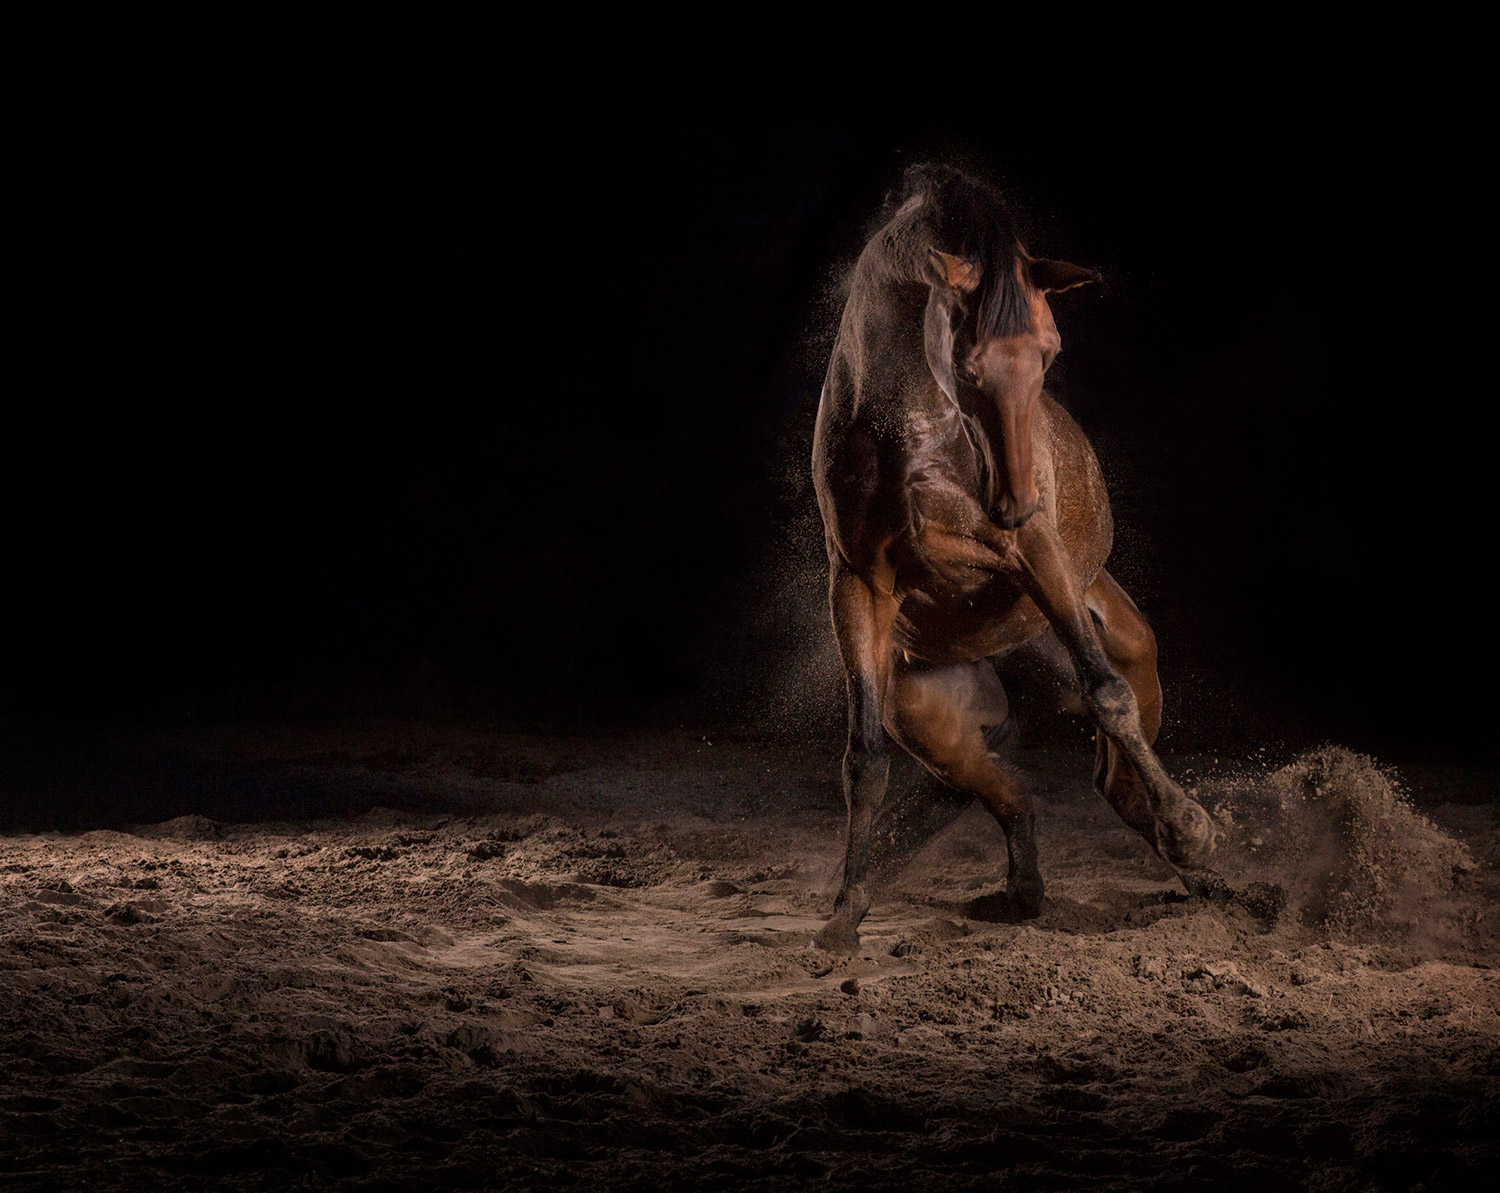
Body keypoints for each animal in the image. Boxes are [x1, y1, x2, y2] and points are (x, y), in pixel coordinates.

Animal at [810, 164, 1221, 954]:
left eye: (1050, 353)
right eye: (968, 368)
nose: (1019, 500)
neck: (908, 426)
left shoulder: (1037, 556)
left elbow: (1107, 696)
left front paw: (1191, 829)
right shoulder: (858, 583)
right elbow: (863, 759)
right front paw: (843, 915)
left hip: (1126, 646)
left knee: (1117, 769)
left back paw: (1200, 865)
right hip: (931, 723)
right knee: (1013, 793)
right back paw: (1025, 890)